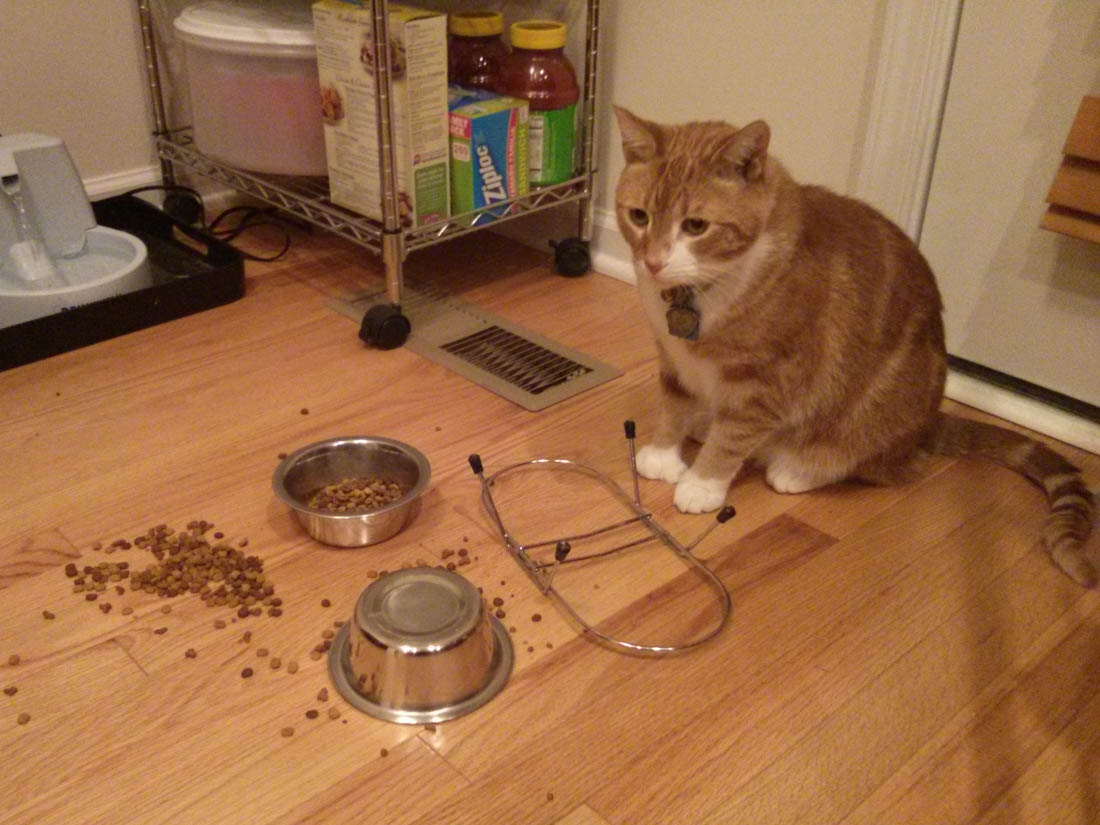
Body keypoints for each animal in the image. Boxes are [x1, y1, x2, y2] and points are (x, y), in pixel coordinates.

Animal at [612, 106, 1097, 588]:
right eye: (639, 217)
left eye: (695, 226)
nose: (653, 262)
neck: (699, 294)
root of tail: (928, 424)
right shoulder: (673, 360)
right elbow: (674, 405)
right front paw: (663, 454)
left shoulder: (767, 380)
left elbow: (732, 438)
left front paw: (702, 483)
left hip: (865, 419)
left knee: (872, 463)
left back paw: (793, 468)